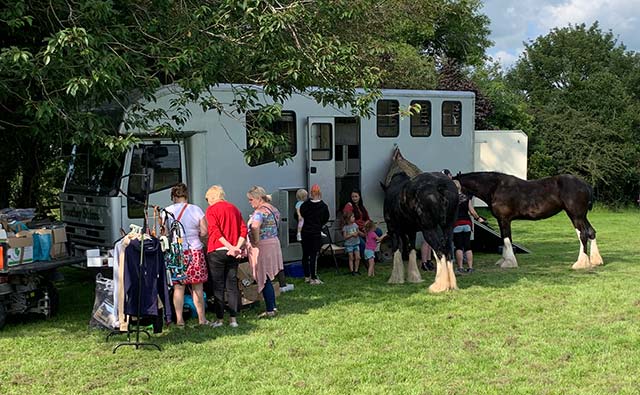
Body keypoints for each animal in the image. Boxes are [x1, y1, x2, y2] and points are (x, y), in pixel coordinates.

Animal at [380, 150, 460, 292]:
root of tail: (440, 186)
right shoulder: (411, 231)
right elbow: (411, 249)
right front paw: (414, 277)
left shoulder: (393, 229)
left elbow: (397, 249)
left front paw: (396, 278)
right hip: (448, 227)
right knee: (447, 250)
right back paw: (450, 284)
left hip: (429, 229)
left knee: (439, 250)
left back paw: (439, 286)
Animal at [452, 172, 604, 270]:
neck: (496, 187)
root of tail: (585, 184)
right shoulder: (502, 220)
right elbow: (504, 239)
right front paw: (504, 260)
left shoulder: (504, 220)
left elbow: (507, 239)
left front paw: (509, 262)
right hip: (582, 216)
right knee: (591, 232)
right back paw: (595, 261)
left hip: (576, 215)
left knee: (583, 234)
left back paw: (580, 263)